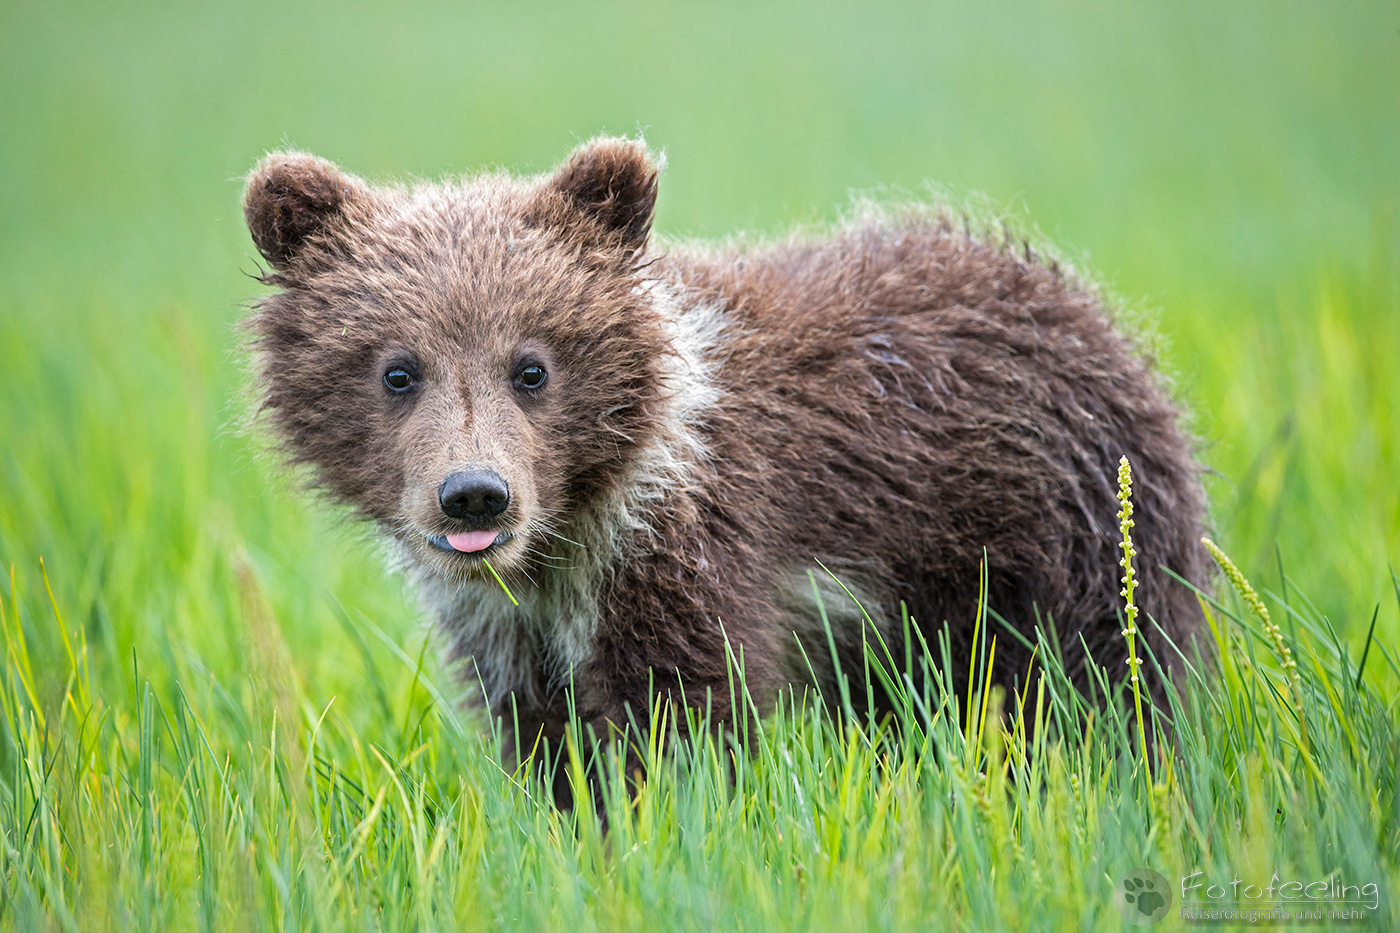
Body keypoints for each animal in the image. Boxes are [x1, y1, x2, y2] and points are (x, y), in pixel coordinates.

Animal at [242, 137, 1210, 795]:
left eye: (532, 366)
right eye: (397, 369)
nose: (474, 494)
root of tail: (1092, 305)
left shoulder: (687, 543)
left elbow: (677, 712)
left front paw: (658, 818)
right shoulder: (510, 621)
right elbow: (545, 734)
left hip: (1064, 530)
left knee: (1101, 679)